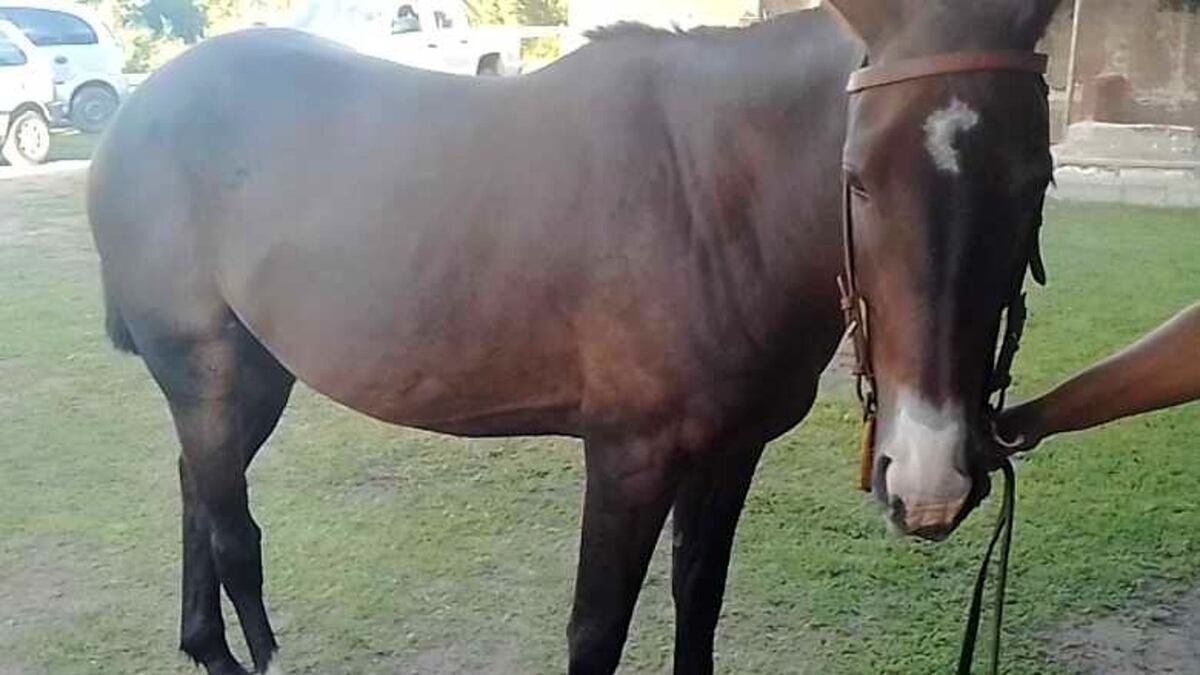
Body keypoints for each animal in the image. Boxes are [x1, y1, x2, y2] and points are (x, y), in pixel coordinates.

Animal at [86, 0, 1061, 672]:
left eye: (1036, 176)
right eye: (855, 178)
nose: (930, 480)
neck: (712, 194)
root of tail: (139, 108)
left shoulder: (729, 452)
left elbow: (698, 602)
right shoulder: (629, 455)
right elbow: (597, 630)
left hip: (256, 374)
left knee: (198, 489)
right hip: (204, 368)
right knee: (233, 530)